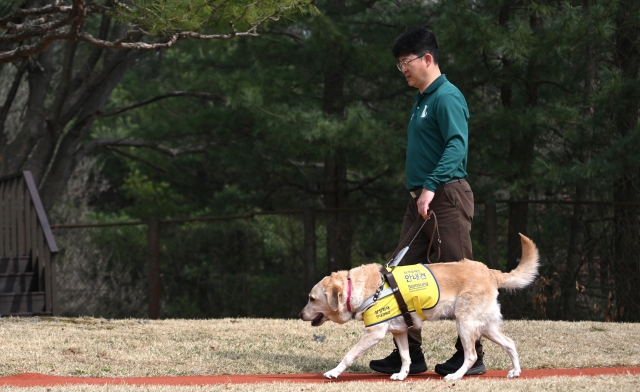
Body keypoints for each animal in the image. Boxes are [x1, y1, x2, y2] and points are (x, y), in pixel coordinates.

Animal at [298, 233, 536, 380]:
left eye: (311, 298)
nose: (300, 315)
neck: (364, 290)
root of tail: (489, 272)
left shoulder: (374, 333)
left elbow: (349, 355)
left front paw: (334, 372)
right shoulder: (400, 331)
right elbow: (406, 357)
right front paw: (402, 375)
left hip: (465, 324)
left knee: (471, 356)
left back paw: (455, 376)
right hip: (487, 326)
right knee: (510, 343)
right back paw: (515, 371)